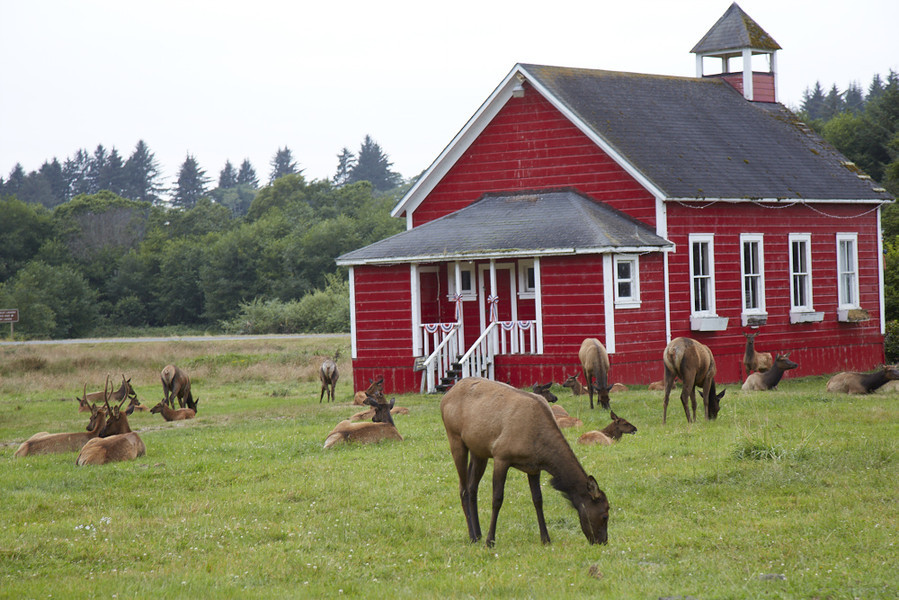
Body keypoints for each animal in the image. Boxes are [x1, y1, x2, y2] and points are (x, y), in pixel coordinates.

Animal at [440, 380, 608, 548]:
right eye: (605, 515)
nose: (603, 541)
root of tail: (445, 397)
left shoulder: (534, 468)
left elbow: (538, 500)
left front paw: (545, 538)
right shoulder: (501, 456)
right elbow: (497, 499)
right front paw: (490, 541)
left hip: (479, 450)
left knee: (472, 487)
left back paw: (478, 533)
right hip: (455, 437)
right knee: (463, 489)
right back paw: (473, 536)